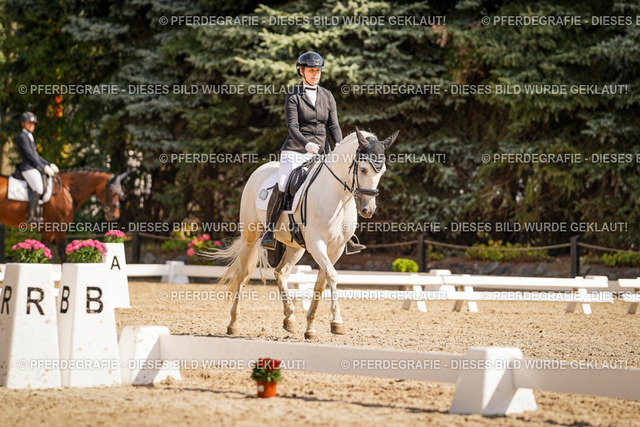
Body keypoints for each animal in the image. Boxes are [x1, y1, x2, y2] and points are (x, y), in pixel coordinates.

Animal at [211, 128, 398, 339]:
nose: (368, 210)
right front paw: (337, 322)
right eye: (364, 169)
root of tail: (259, 170)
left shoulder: (336, 249)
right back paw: (233, 323)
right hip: (250, 236)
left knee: (281, 273)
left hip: (296, 247)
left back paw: (289, 319)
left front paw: (311, 328)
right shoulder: (317, 244)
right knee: (242, 275)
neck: (337, 196)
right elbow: (332, 276)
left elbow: (321, 283)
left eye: (382, 171)